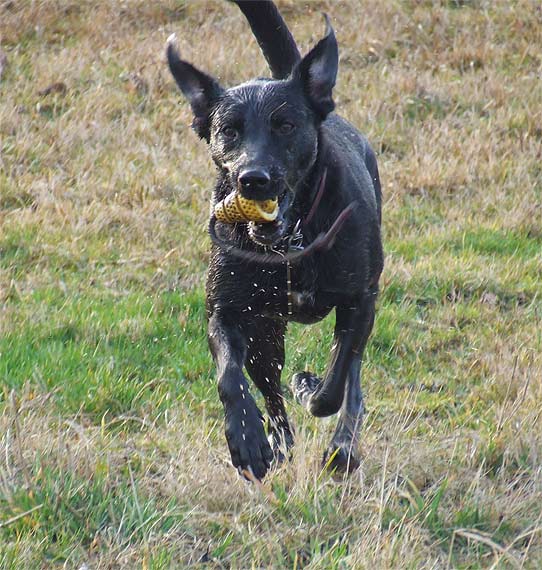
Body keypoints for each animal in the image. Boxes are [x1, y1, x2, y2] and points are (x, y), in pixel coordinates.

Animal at [168, 2, 384, 478]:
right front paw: (246, 441)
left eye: (285, 125)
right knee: (269, 389)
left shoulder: (359, 299)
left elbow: (337, 380)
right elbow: (229, 377)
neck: (290, 245)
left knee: (351, 376)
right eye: (228, 130)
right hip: (268, 333)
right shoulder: (228, 309)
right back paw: (277, 443)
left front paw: (312, 390)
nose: (252, 179)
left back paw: (341, 445)